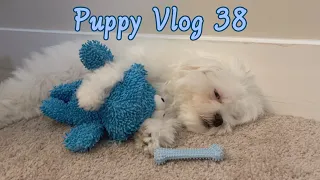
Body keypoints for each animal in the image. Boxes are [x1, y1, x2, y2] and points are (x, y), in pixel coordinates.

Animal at [0, 38, 268, 155]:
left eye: (231, 118)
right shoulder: (134, 64)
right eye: (217, 94)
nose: (218, 121)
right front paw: (89, 96)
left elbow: (161, 122)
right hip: (40, 80)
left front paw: (151, 136)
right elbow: (111, 72)